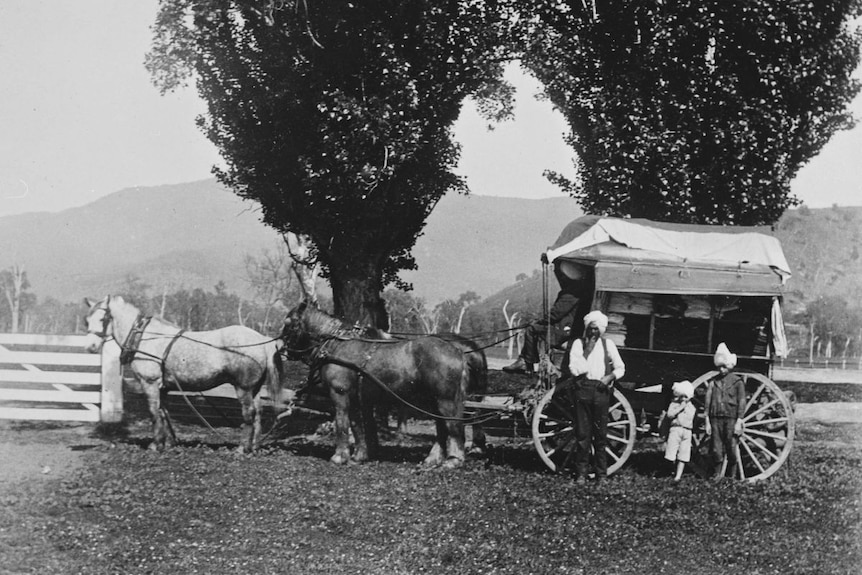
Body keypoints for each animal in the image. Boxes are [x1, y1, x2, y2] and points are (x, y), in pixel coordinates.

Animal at [82, 296, 284, 454]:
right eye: (87, 320)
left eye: (103, 318)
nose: (90, 347)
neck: (145, 337)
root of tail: (262, 340)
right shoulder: (163, 388)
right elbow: (164, 413)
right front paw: (169, 443)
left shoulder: (150, 383)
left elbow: (154, 413)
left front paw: (156, 445)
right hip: (255, 388)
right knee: (258, 414)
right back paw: (254, 446)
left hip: (243, 388)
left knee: (249, 414)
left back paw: (242, 448)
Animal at [282, 302, 472, 468]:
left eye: (289, 323)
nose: (284, 351)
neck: (338, 344)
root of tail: (457, 351)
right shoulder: (355, 398)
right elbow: (357, 425)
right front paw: (359, 456)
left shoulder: (340, 393)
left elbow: (342, 423)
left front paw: (339, 456)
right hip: (433, 401)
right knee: (442, 428)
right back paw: (433, 458)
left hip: (445, 400)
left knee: (453, 425)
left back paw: (453, 460)